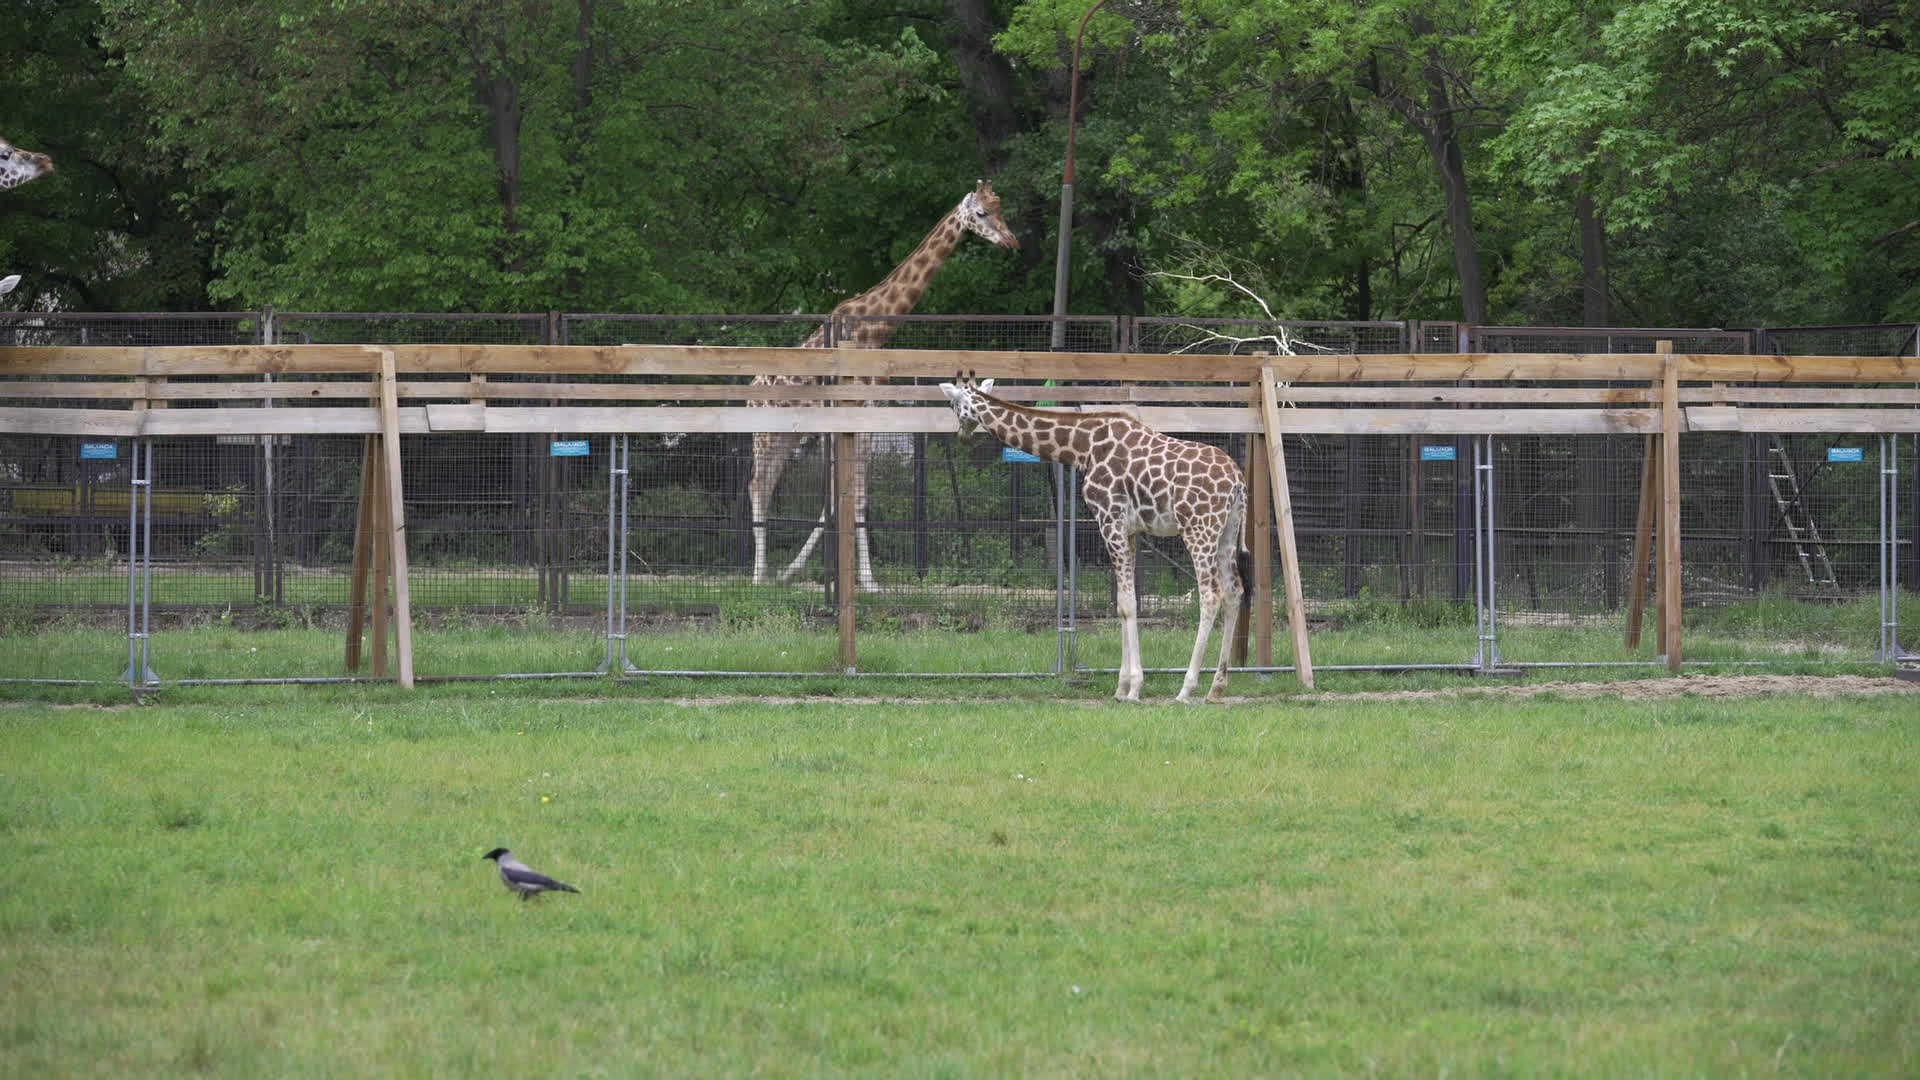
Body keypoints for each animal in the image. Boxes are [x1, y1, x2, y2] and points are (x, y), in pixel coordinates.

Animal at [751, 181, 1019, 591]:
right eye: (981, 213)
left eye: (1000, 208)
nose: (1011, 241)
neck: (873, 331)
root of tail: (751, 386)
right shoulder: (850, 414)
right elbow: (850, 496)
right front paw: (862, 580)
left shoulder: (869, 415)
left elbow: (848, 498)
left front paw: (846, 577)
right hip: (763, 435)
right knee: (757, 488)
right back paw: (756, 575)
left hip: (786, 436)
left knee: (767, 486)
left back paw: (774, 573)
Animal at [939, 374, 1251, 704]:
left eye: (953, 405)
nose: (962, 435)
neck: (1082, 447)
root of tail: (1238, 482)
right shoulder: (1130, 530)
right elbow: (1123, 604)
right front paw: (1121, 687)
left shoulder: (1109, 520)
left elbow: (1128, 604)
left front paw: (1134, 688)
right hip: (1226, 532)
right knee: (1234, 592)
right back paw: (1217, 687)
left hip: (1199, 530)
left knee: (1211, 595)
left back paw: (1186, 689)